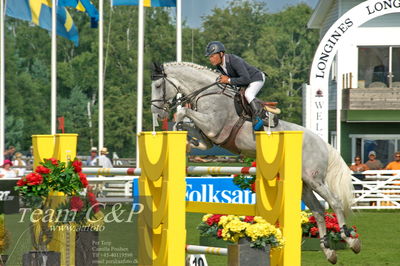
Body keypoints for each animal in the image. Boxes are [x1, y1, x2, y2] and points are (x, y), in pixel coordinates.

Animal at [149, 62, 360, 264]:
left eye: (158, 85)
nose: (157, 115)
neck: (207, 94)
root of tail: (323, 144)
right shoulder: (208, 136)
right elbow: (194, 133)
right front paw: (184, 141)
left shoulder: (212, 126)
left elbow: (182, 113)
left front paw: (176, 126)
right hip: (305, 184)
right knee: (318, 211)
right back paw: (329, 251)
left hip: (315, 179)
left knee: (335, 202)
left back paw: (351, 241)